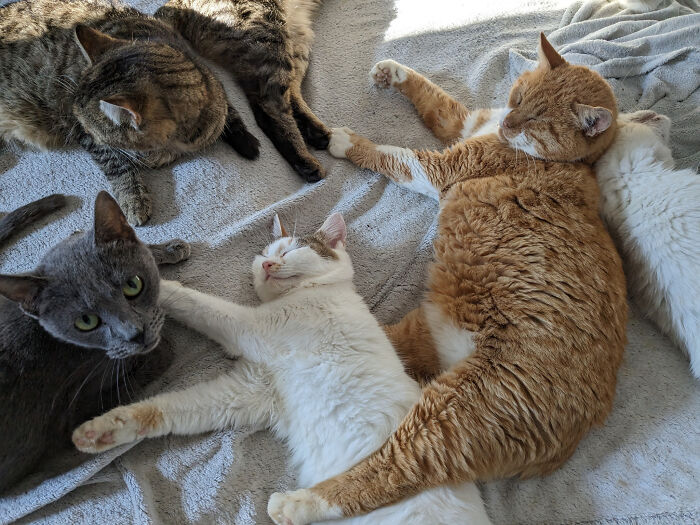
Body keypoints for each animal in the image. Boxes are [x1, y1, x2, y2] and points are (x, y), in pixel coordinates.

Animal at [0, 0, 258, 223]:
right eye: (83, 126)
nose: (77, 127)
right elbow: (118, 162)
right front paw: (133, 198)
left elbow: (229, 112)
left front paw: (247, 141)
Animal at [0, 190, 190, 494]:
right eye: (86, 321)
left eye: (133, 285)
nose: (135, 333)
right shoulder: (73, 411)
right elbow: (161, 353)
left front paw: (168, 249)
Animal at [71, 213, 492, 524]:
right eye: (264, 255)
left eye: (295, 249)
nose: (270, 264)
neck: (311, 293)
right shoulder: (249, 391)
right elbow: (170, 409)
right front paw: (102, 430)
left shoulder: (250, 328)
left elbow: (196, 303)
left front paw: (155, 283)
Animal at [266, 33, 628, 524]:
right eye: (517, 98)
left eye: (536, 122)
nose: (509, 123)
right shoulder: (466, 123)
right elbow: (435, 99)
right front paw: (393, 71)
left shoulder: (439, 169)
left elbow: (394, 156)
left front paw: (345, 140)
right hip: (420, 333)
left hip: (455, 414)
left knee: (392, 471)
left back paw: (299, 502)